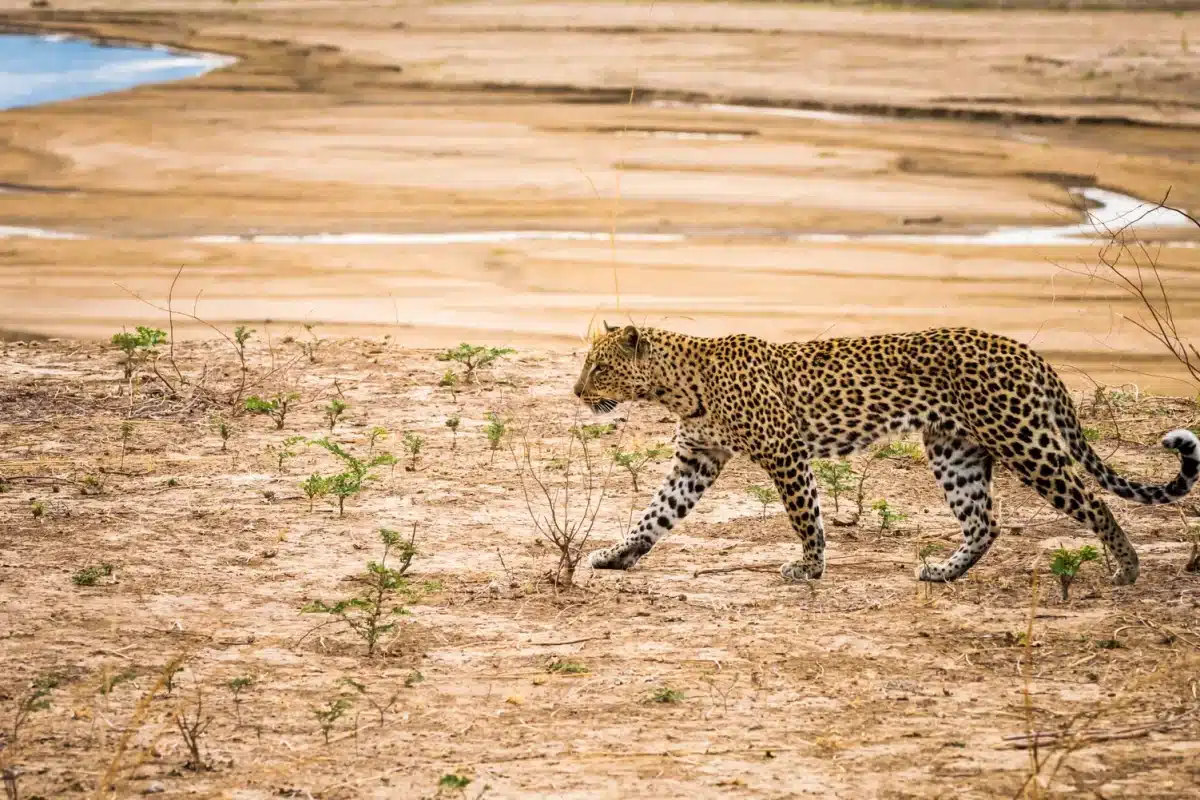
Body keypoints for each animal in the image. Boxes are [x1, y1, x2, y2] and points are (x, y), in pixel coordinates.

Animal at [573, 323, 1200, 585]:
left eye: (598, 366)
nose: (577, 392)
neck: (680, 384)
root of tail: (1027, 351)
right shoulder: (696, 460)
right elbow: (654, 514)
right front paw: (617, 556)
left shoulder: (785, 453)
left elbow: (806, 517)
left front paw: (809, 568)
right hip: (954, 451)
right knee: (985, 522)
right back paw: (943, 573)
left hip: (1023, 442)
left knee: (1093, 501)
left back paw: (1127, 569)